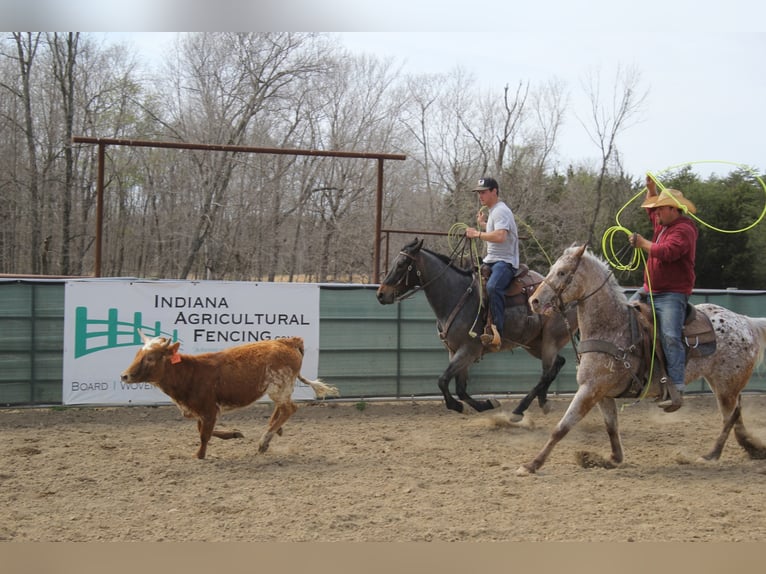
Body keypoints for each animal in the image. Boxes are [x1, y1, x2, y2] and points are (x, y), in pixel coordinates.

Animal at [120, 332, 340, 460]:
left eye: (150, 358)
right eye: (137, 354)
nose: (124, 376)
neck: (190, 373)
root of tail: (288, 342)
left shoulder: (209, 410)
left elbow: (204, 434)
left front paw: (199, 455)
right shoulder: (202, 411)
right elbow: (203, 430)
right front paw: (234, 433)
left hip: (279, 386)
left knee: (289, 408)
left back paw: (264, 441)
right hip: (280, 388)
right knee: (282, 409)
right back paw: (273, 433)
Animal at [376, 236, 580, 420]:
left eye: (402, 263)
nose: (380, 294)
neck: (455, 294)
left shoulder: (468, 350)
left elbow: (443, 381)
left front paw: (460, 406)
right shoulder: (455, 351)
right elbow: (460, 389)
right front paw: (486, 404)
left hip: (550, 340)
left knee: (546, 373)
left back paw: (520, 409)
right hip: (535, 343)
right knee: (557, 364)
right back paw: (543, 401)